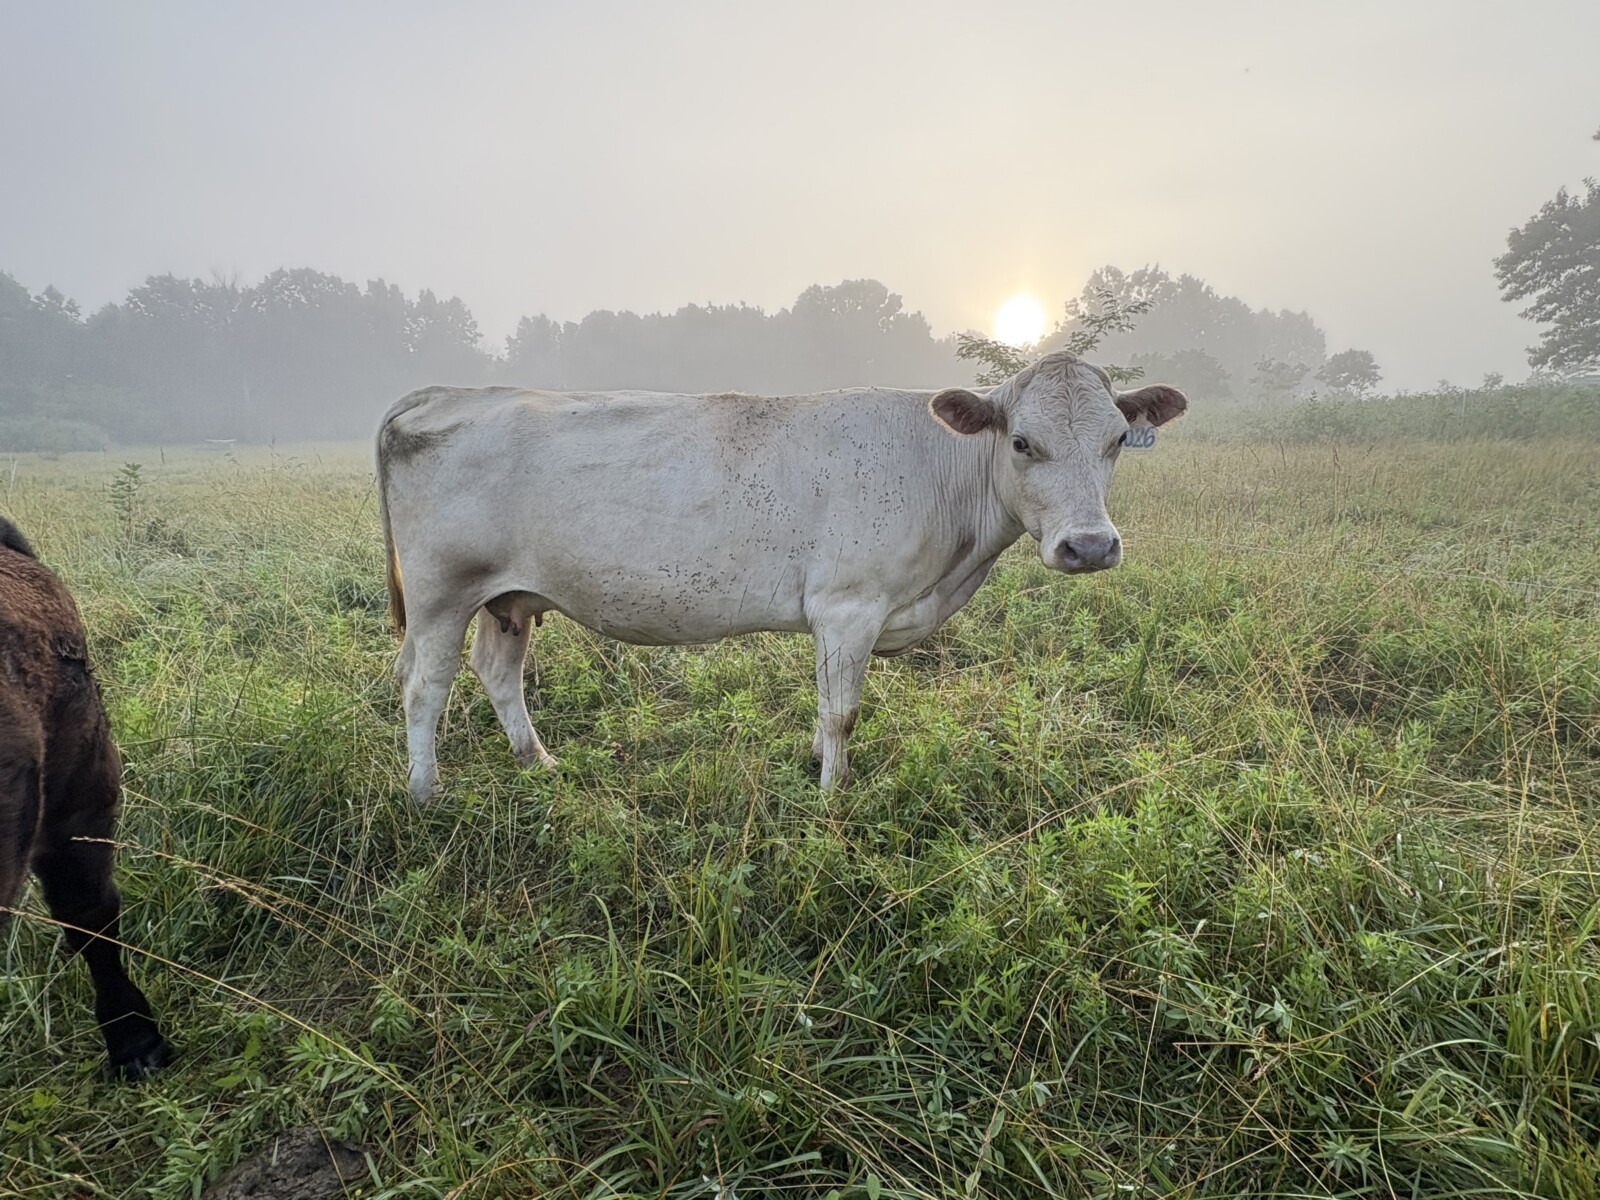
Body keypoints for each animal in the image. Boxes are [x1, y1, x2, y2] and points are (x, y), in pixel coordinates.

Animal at [376, 351, 1187, 802]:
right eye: (1021, 441)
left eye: (1119, 438)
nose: (1089, 545)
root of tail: (440, 393)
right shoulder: (848, 606)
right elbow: (843, 712)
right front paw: (832, 799)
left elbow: (825, 709)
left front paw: (816, 764)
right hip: (443, 591)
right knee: (423, 685)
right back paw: (425, 793)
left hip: (508, 596)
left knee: (497, 670)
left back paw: (537, 762)